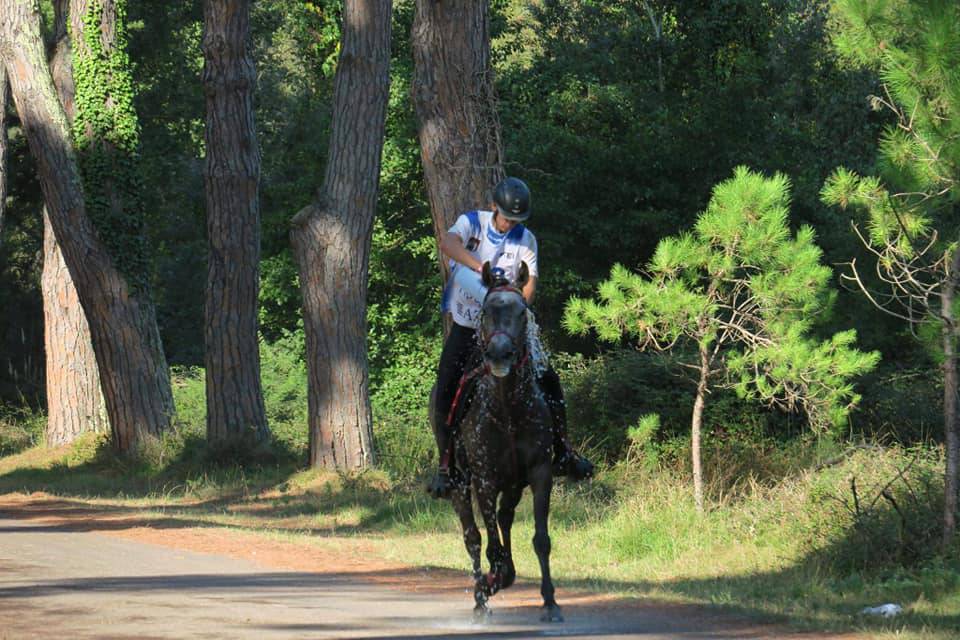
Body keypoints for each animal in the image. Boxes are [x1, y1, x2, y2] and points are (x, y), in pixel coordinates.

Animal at [430, 258, 564, 620]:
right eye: (487, 310)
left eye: (521, 312)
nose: (500, 354)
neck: (508, 411)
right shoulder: (485, 479)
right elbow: (489, 543)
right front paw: (493, 580)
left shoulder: (539, 473)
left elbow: (541, 539)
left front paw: (550, 602)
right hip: (461, 486)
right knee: (473, 537)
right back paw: (481, 596)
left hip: (514, 484)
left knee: (504, 519)